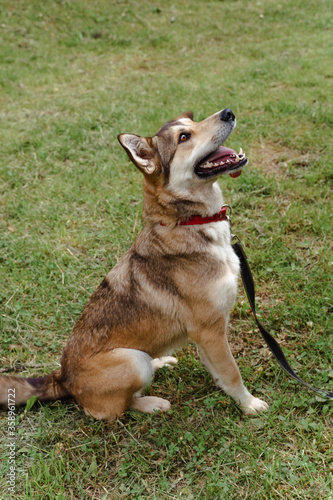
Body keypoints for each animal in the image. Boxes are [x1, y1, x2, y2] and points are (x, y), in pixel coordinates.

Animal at [0, 107, 268, 420]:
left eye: (192, 122)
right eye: (184, 137)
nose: (228, 112)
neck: (187, 221)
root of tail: (62, 378)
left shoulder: (207, 334)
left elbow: (220, 373)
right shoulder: (210, 330)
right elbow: (232, 373)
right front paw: (249, 404)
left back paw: (159, 362)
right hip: (131, 360)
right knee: (114, 408)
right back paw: (152, 403)